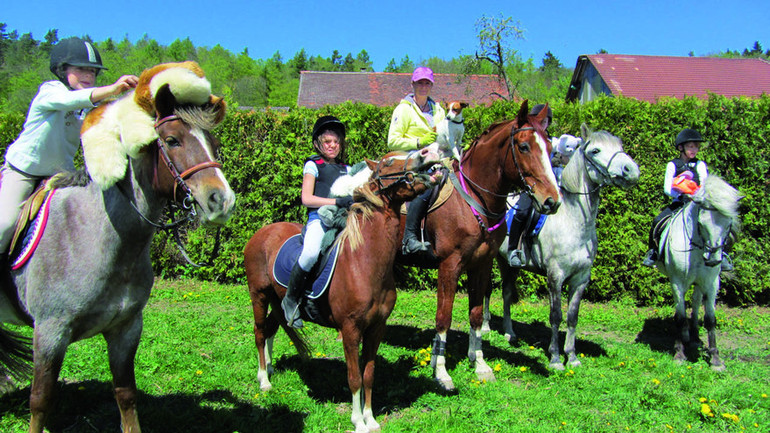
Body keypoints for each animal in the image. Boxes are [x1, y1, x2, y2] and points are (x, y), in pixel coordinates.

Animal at [0, 61, 234, 432]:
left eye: (212, 141)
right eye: (172, 140)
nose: (222, 201)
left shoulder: (126, 328)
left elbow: (125, 394)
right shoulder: (50, 332)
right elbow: (40, 400)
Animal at [484, 124, 640, 368]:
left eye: (620, 146)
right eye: (595, 150)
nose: (631, 170)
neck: (574, 223)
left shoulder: (580, 279)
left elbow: (572, 316)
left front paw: (572, 356)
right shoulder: (555, 276)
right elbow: (556, 315)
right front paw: (556, 358)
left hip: (508, 263)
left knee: (507, 292)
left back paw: (510, 333)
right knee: (487, 291)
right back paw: (485, 326)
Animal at [652, 174, 736, 370]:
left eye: (728, 224)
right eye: (701, 223)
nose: (712, 260)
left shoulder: (712, 283)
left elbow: (710, 319)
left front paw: (715, 359)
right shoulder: (677, 282)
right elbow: (680, 317)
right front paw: (679, 354)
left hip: (700, 283)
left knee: (696, 303)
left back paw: (695, 337)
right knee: (683, 308)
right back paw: (684, 338)